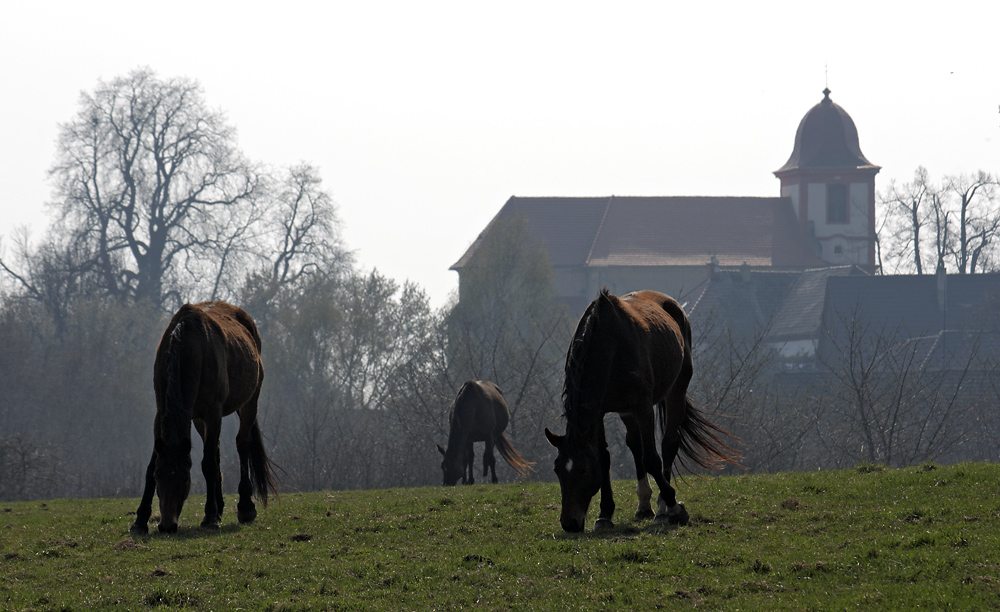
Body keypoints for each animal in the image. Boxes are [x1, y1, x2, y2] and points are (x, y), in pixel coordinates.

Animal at [130, 302, 278, 536]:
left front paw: (210, 518)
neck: (189, 346)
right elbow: (151, 465)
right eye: (159, 477)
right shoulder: (161, 412)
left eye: (185, 478)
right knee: (216, 450)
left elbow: (208, 464)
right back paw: (220, 507)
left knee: (242, 444)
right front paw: (140, 520)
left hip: (249, 401)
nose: (167, 525)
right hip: (199, 419)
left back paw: (245, 508)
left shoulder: (213, 412)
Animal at [544, 288, 740, 532]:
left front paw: (675, 507)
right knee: (635, 444)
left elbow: (652, 459)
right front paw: (605, 514)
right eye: (557, 470)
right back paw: (644, 507)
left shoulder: (643, 408)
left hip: (676, 390)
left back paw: (663, 509)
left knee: (668, 444)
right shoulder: (599, 413)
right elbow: (604, 457)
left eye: (583, 470)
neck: (609, 344)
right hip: (626, 411)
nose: (570, 523)